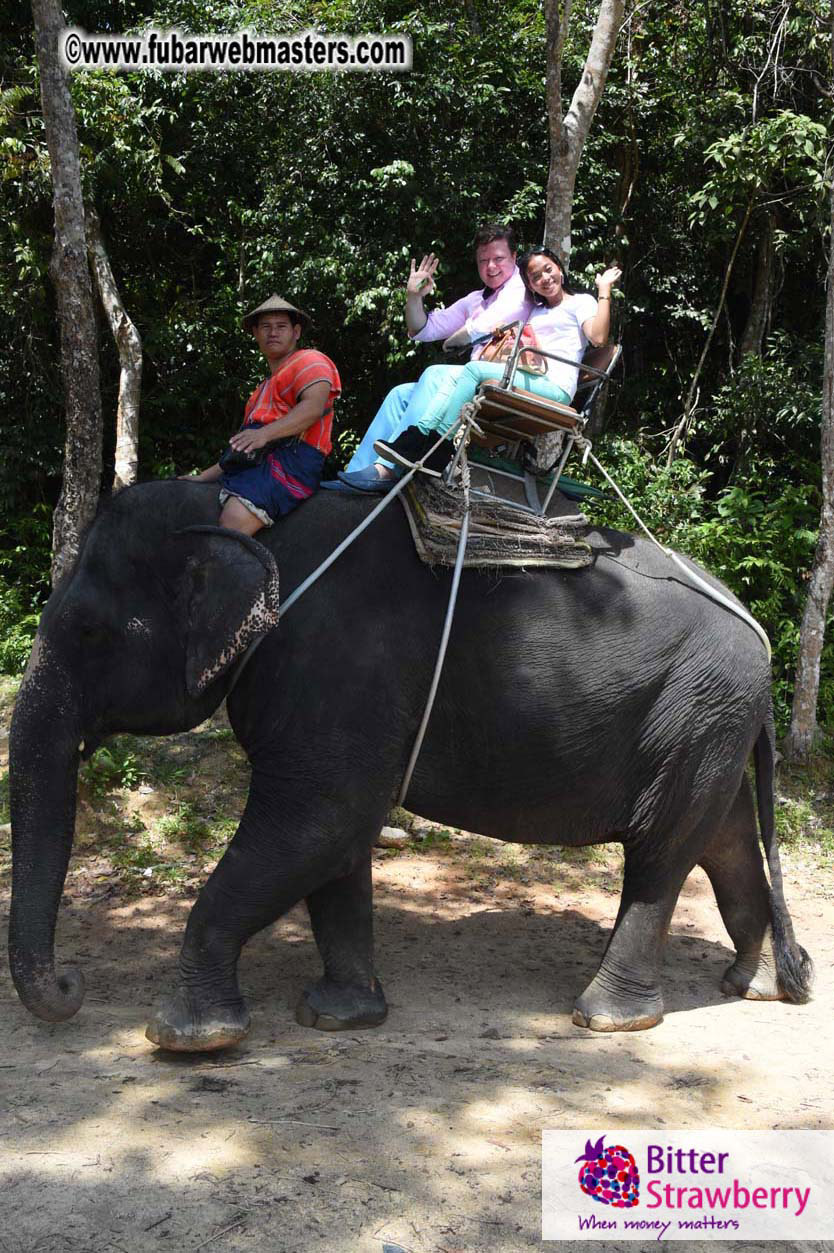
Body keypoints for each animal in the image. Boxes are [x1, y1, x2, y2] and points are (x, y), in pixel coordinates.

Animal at [8, 479, 812, 1051]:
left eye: (89, 630)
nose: (73, 984)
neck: (238, 517)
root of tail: (761, 637)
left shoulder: (334, 670)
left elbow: (319, 820)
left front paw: (188, 1037)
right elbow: (333, 840)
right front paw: (339, 1015)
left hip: (695, 708)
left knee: (660, 854)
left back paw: (608, 1020)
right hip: (709, 723)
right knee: (723, 838)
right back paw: (753, 982)